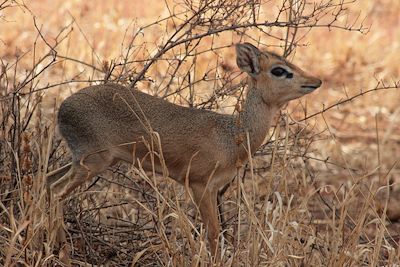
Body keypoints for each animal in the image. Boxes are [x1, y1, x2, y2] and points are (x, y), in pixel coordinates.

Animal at [47, 43, 322, 258]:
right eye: (279, 70)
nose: (316, 81)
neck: (232, 136)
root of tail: (62, 108)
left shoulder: (213, 188)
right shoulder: (198, 184)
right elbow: (212, 233)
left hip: (90, 160)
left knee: (45, 180)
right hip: (92, 161)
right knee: (56, 192)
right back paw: (63, 252)